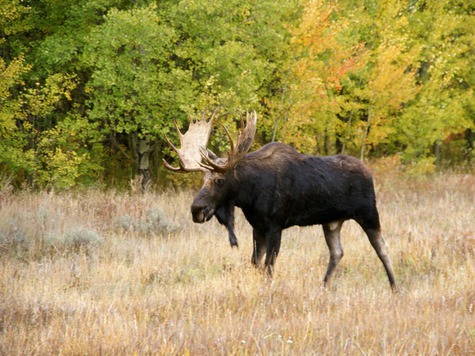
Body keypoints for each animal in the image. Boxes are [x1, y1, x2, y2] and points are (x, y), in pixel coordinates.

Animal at [164, 111, 398, 292]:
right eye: (203, 179)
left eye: (220, 180)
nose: (196, 209)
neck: (250, 194)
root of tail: (369, 173)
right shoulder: (257, 227)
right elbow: (256, 263)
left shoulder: (276, 225)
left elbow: (268, 266)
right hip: (331, 222)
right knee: (337, 252)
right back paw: (323, 287)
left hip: (368, 213)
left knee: (383, 247)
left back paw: (394, 287)